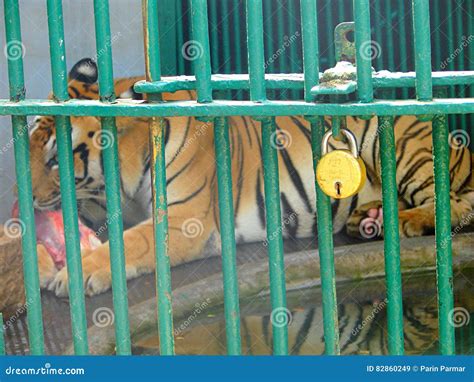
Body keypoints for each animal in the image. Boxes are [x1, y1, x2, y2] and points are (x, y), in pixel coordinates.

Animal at [30, 58, 474, 296]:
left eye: (54, 160)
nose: (30, 199)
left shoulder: (185, 221)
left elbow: (130, 244)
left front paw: (75, 275)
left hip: (396, 143)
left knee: (455, 203)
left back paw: (403, 221)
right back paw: (371, 218)